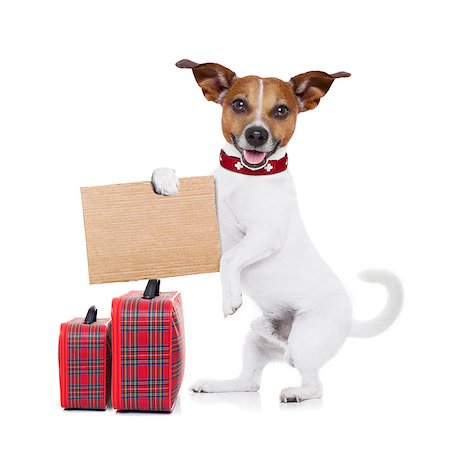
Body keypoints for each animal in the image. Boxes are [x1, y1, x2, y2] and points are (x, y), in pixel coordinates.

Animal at [151, 59, 404, 400]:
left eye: (282, 110)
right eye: (238, 104)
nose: (257, 134)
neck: (246, 176)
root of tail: (349, 320)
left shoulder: (263, 235)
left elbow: (229, 258)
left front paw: (230, 298)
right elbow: (167, 175)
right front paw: (165, 180)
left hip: (305, 338)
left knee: (315, 384)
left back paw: (296, 393)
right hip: (255, 343)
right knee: (249, 382)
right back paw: (216, 383)